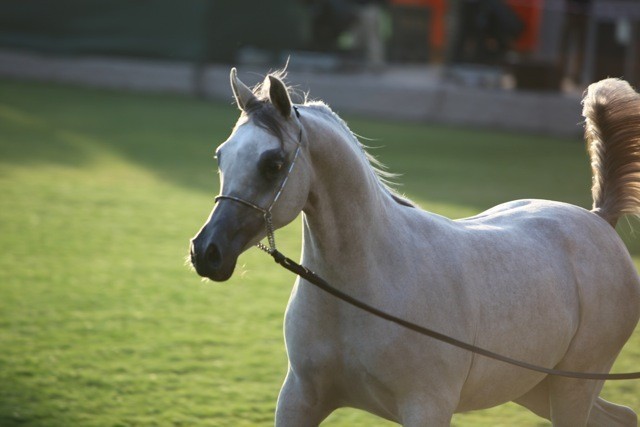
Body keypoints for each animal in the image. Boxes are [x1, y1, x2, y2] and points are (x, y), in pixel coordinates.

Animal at [190, 69, 640, 426]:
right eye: (220, 156)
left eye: (273, 163)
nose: (206, 251)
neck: (367, 286)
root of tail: (598, 218)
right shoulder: (299, 399)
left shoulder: (427, 407)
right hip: (536, 386)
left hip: (572, 389)